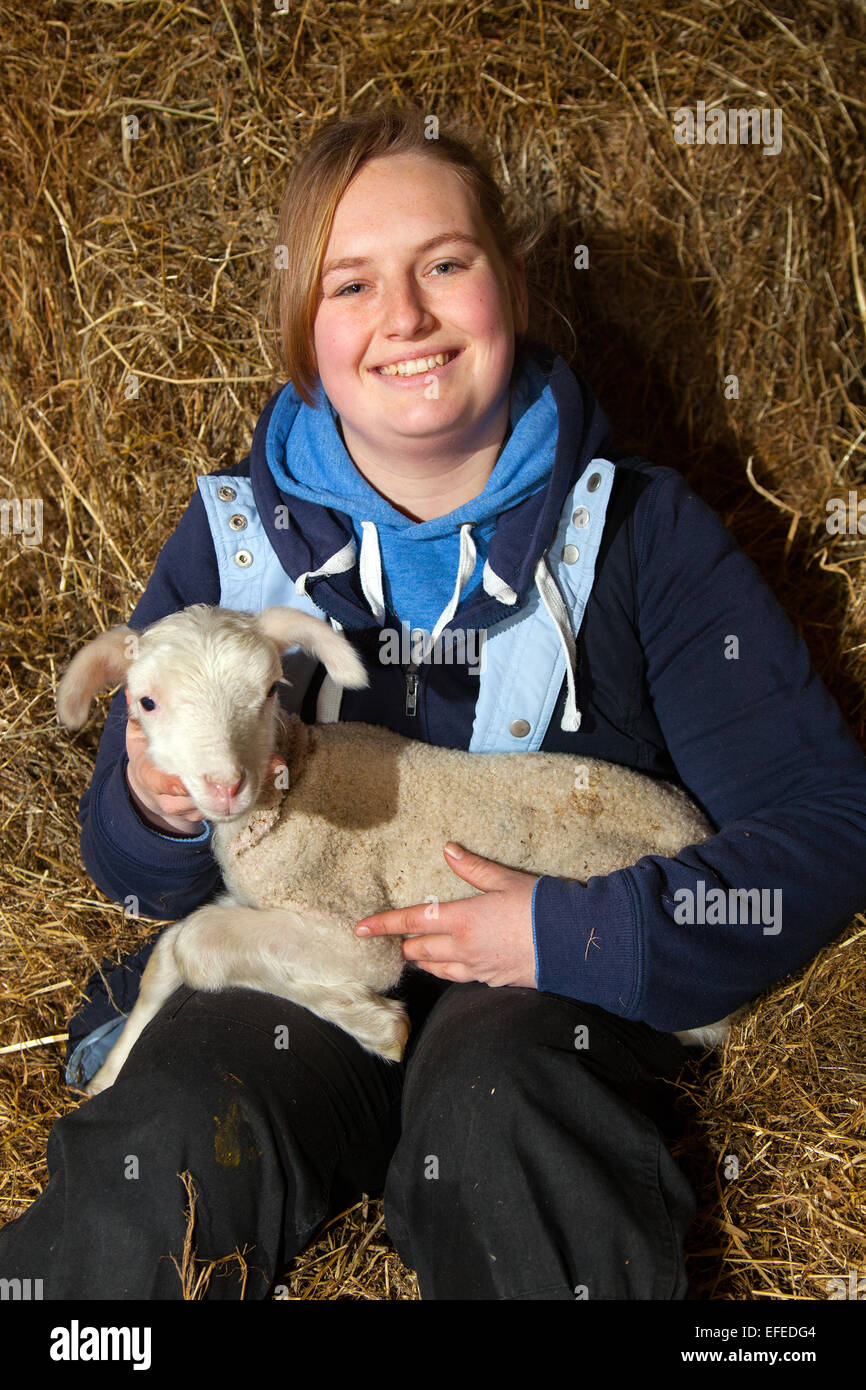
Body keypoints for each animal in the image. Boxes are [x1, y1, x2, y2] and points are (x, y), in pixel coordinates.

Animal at [57, 603, 739, 1089]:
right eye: (145, 702)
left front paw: (375, 1023)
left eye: (273, 688)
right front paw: (110, 1075)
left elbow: (197, 946)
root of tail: (697, 828)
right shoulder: (260, 903)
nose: (226, 785)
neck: (295, 786)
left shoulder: (350, 918)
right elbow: (171, 952)